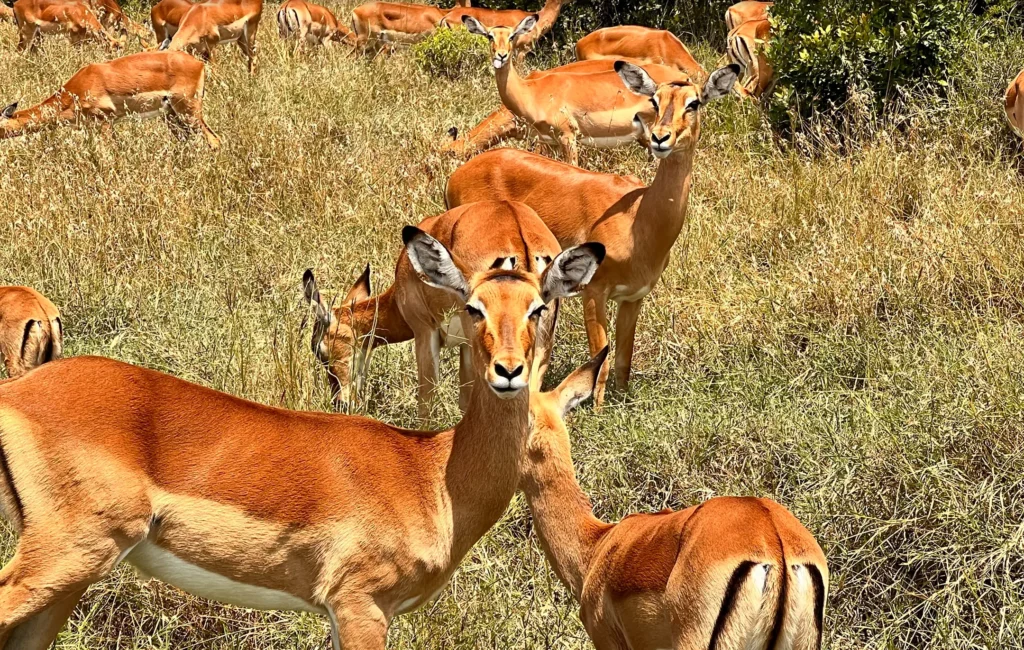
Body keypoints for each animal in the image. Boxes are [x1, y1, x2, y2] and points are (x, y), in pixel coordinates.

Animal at [0, 227, 602, 649]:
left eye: (537, 307)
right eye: (474, 307)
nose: (509, 371)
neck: (433, 474)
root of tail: (19, 393)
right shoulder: (361, 607)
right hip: (68, 554)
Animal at [302, 200, 563, 420]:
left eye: (319, 350)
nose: (340, 403)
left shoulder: (425, 332)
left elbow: (426, 401)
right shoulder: (464, 346)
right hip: (540, 350)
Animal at [446, 61, 741, 404]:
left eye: (694, 103)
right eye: (655, 101)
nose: (660, 138)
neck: (640, 220)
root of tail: (457, 175)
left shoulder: (633, 297)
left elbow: (624, 357)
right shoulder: (594, 292)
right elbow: (602, 358)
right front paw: (598, 409)